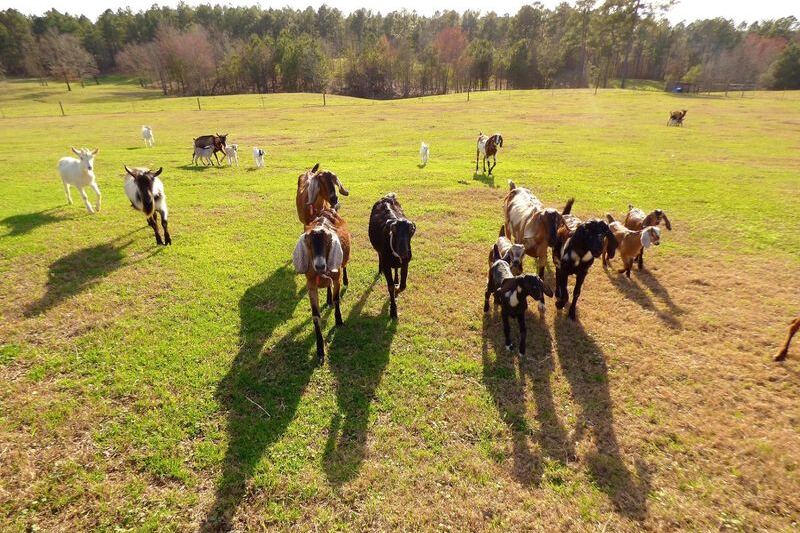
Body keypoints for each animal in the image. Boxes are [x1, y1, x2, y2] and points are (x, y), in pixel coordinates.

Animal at [293, 208, 351, 362]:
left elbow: (337, 299)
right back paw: (328, 299)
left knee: (345, 265)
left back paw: (346, 281)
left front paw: (339, 320)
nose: (320, 265)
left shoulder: (336, 277)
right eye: (309, 244)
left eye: (328, 242)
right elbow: (316, 316)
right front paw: (320, 351)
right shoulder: (311, 284)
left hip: (343, 260)